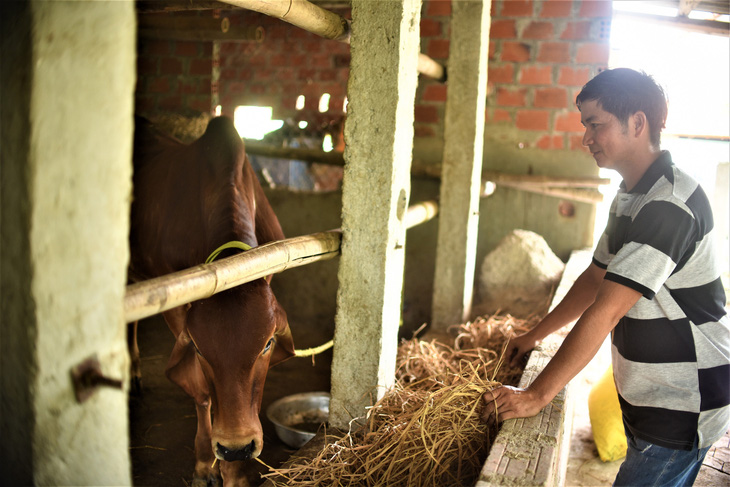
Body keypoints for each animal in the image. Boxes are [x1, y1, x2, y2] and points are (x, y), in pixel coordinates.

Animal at [129, 116, 294, 486]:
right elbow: (202, 392)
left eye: (267, 344)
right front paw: (207, 463)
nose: (236, 447)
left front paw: (237, 472)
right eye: (200, 349)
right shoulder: (178, 309)